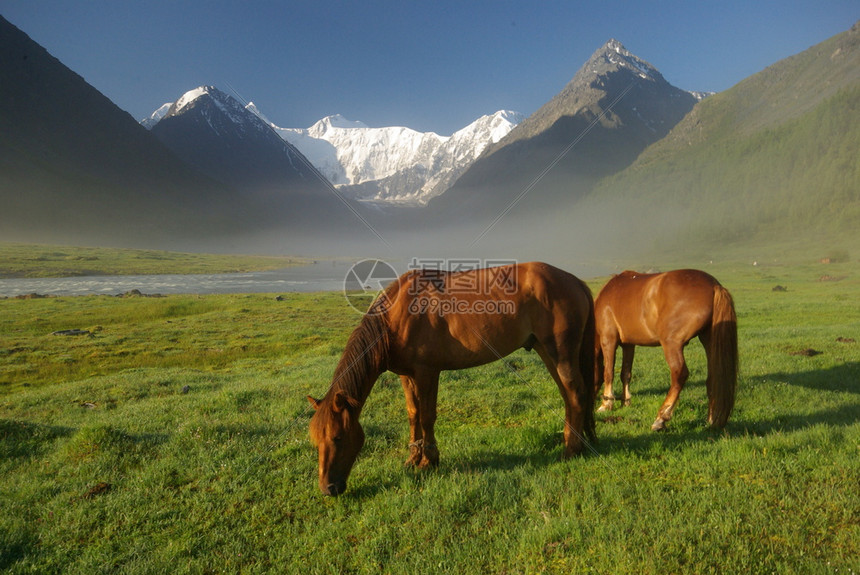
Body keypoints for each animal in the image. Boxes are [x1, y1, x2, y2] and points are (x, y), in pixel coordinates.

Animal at [306, 264, 596, 498]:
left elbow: (427, 416)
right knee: (569, 396)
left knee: (576, 394)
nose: (328, 488)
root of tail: (575, 281)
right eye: (316, 440)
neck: (398, 314)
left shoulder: (427, 372)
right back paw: (576, 442)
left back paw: (571, 450)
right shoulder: (406, 375)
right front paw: (413, 457)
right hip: (546, 351)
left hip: (560, 353)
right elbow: (413, 414)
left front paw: (429, 460)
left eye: (338, 437)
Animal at [596, 270, 736, 432]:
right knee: (713, 377)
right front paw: (626, 401)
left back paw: (661, 418)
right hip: (709, 341)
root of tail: (714, 286)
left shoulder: (608, 339)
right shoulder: (629, 345)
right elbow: (626, 373)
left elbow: (608, 373)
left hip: (671, 345)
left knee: (680, 375)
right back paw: (712, 419)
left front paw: (606, 404)